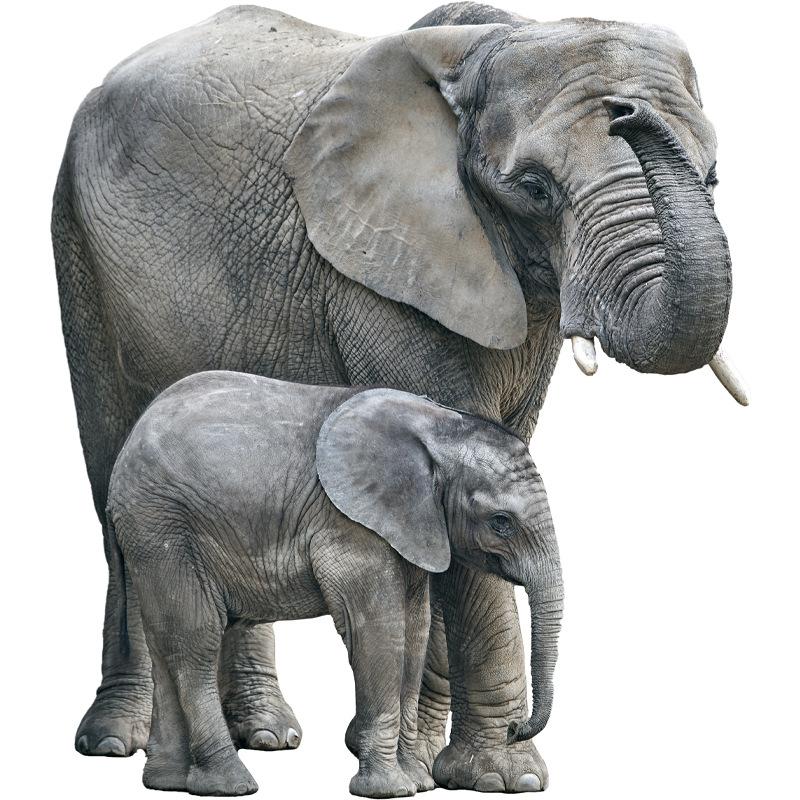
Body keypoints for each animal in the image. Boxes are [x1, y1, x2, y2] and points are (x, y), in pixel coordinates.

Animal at [108, 371, 563, 797]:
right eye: (501, 522)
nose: (515, 728)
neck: (437, 424)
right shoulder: (348, 524)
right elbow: (379, 632)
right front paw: (388, 790)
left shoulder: (411, 527)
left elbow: (413, 632)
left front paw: (418, 783)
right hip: (162, 524)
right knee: (196, 640)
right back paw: (231, 784)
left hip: (150, 536)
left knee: (166, 641)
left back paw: (167, 783)